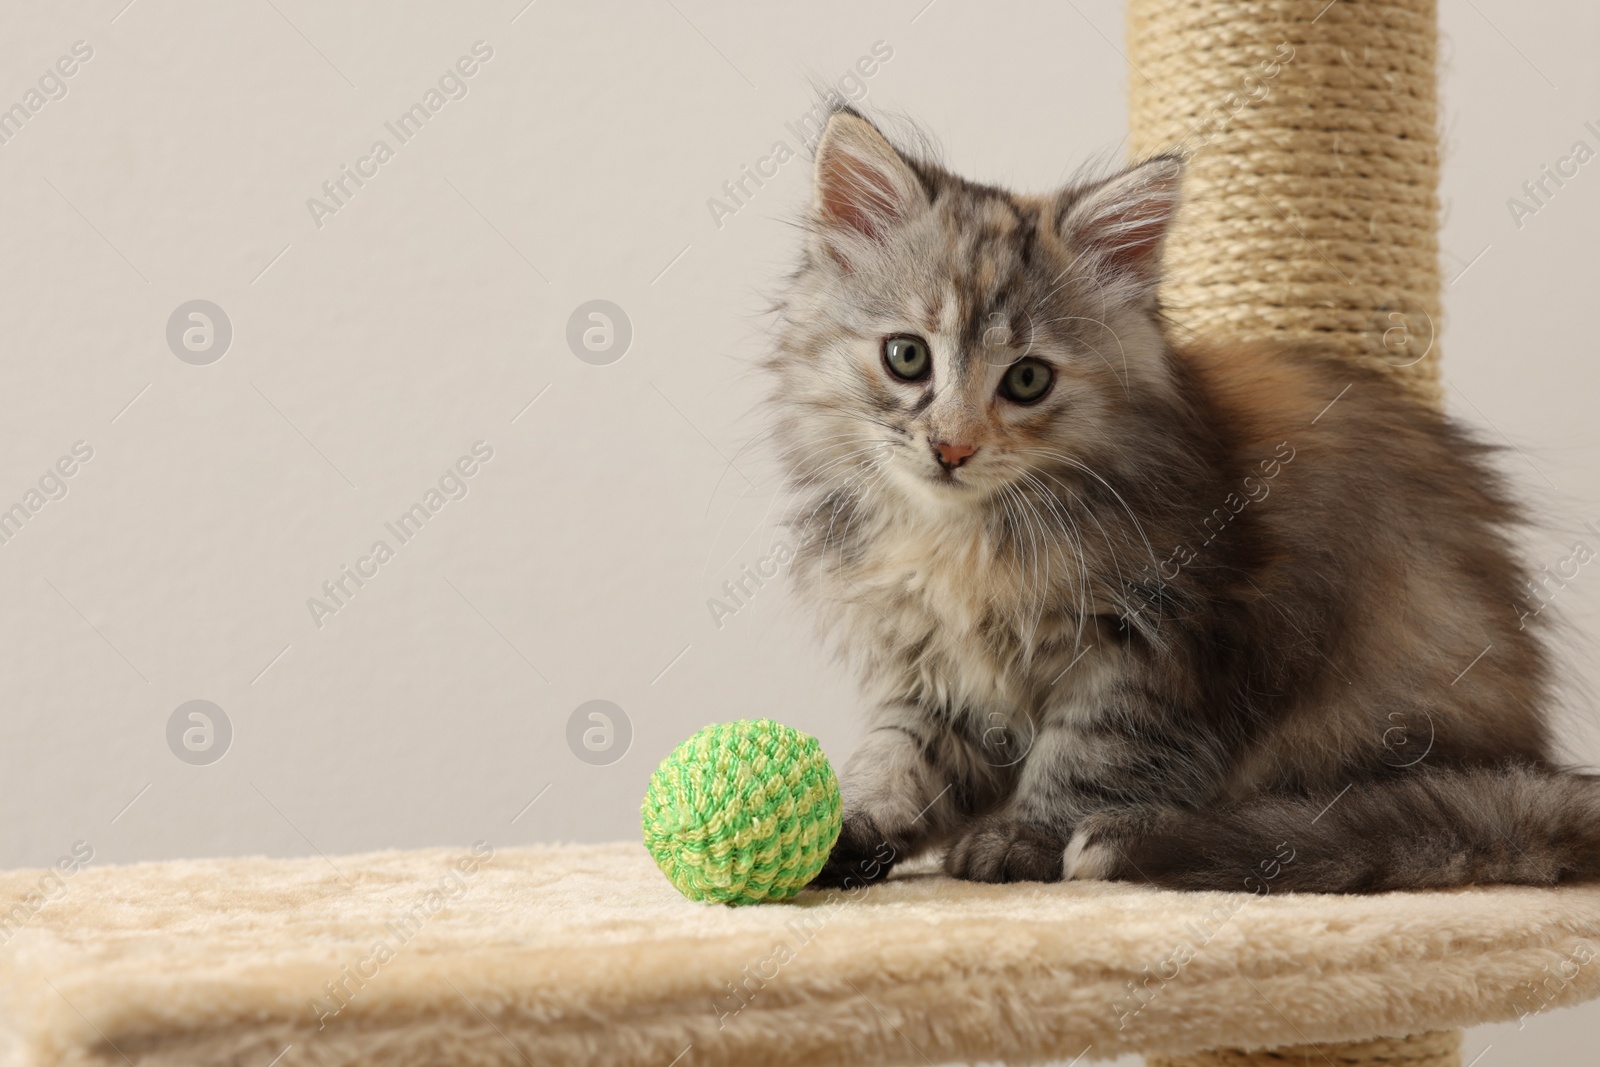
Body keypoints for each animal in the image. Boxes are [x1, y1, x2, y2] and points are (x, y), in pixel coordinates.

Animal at [771, 108, 1600, 895]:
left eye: (1028, 380)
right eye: (906, 357)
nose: (952, 447)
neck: (962, 538)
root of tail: (1527, 753)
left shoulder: (1158, 644)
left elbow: (1086, 755)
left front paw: (1025, 837)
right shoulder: (932, 669)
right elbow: (901, 763)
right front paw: (831, 835)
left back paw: (1134, 839)